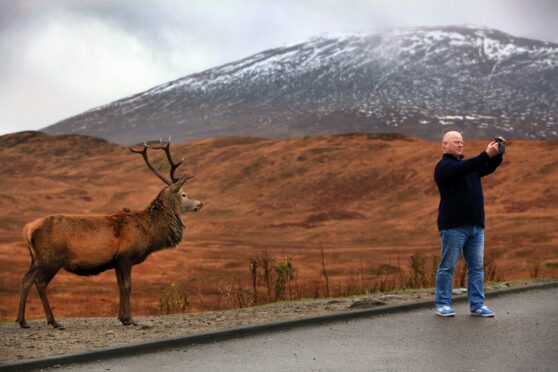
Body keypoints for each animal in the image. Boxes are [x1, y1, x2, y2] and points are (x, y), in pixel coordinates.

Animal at [15, 140, 206, 328]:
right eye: (184, 194)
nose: (201, 203)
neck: (150, 232)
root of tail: (28, 229)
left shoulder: (116, 261)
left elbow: (120, 287)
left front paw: (122, 318)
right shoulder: (126, 257)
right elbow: (128, 287)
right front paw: (132, 320)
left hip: (37, 259)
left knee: (26, 279)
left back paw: (22, 320)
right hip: (51, 258)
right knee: (40, 283)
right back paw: (53, 321)